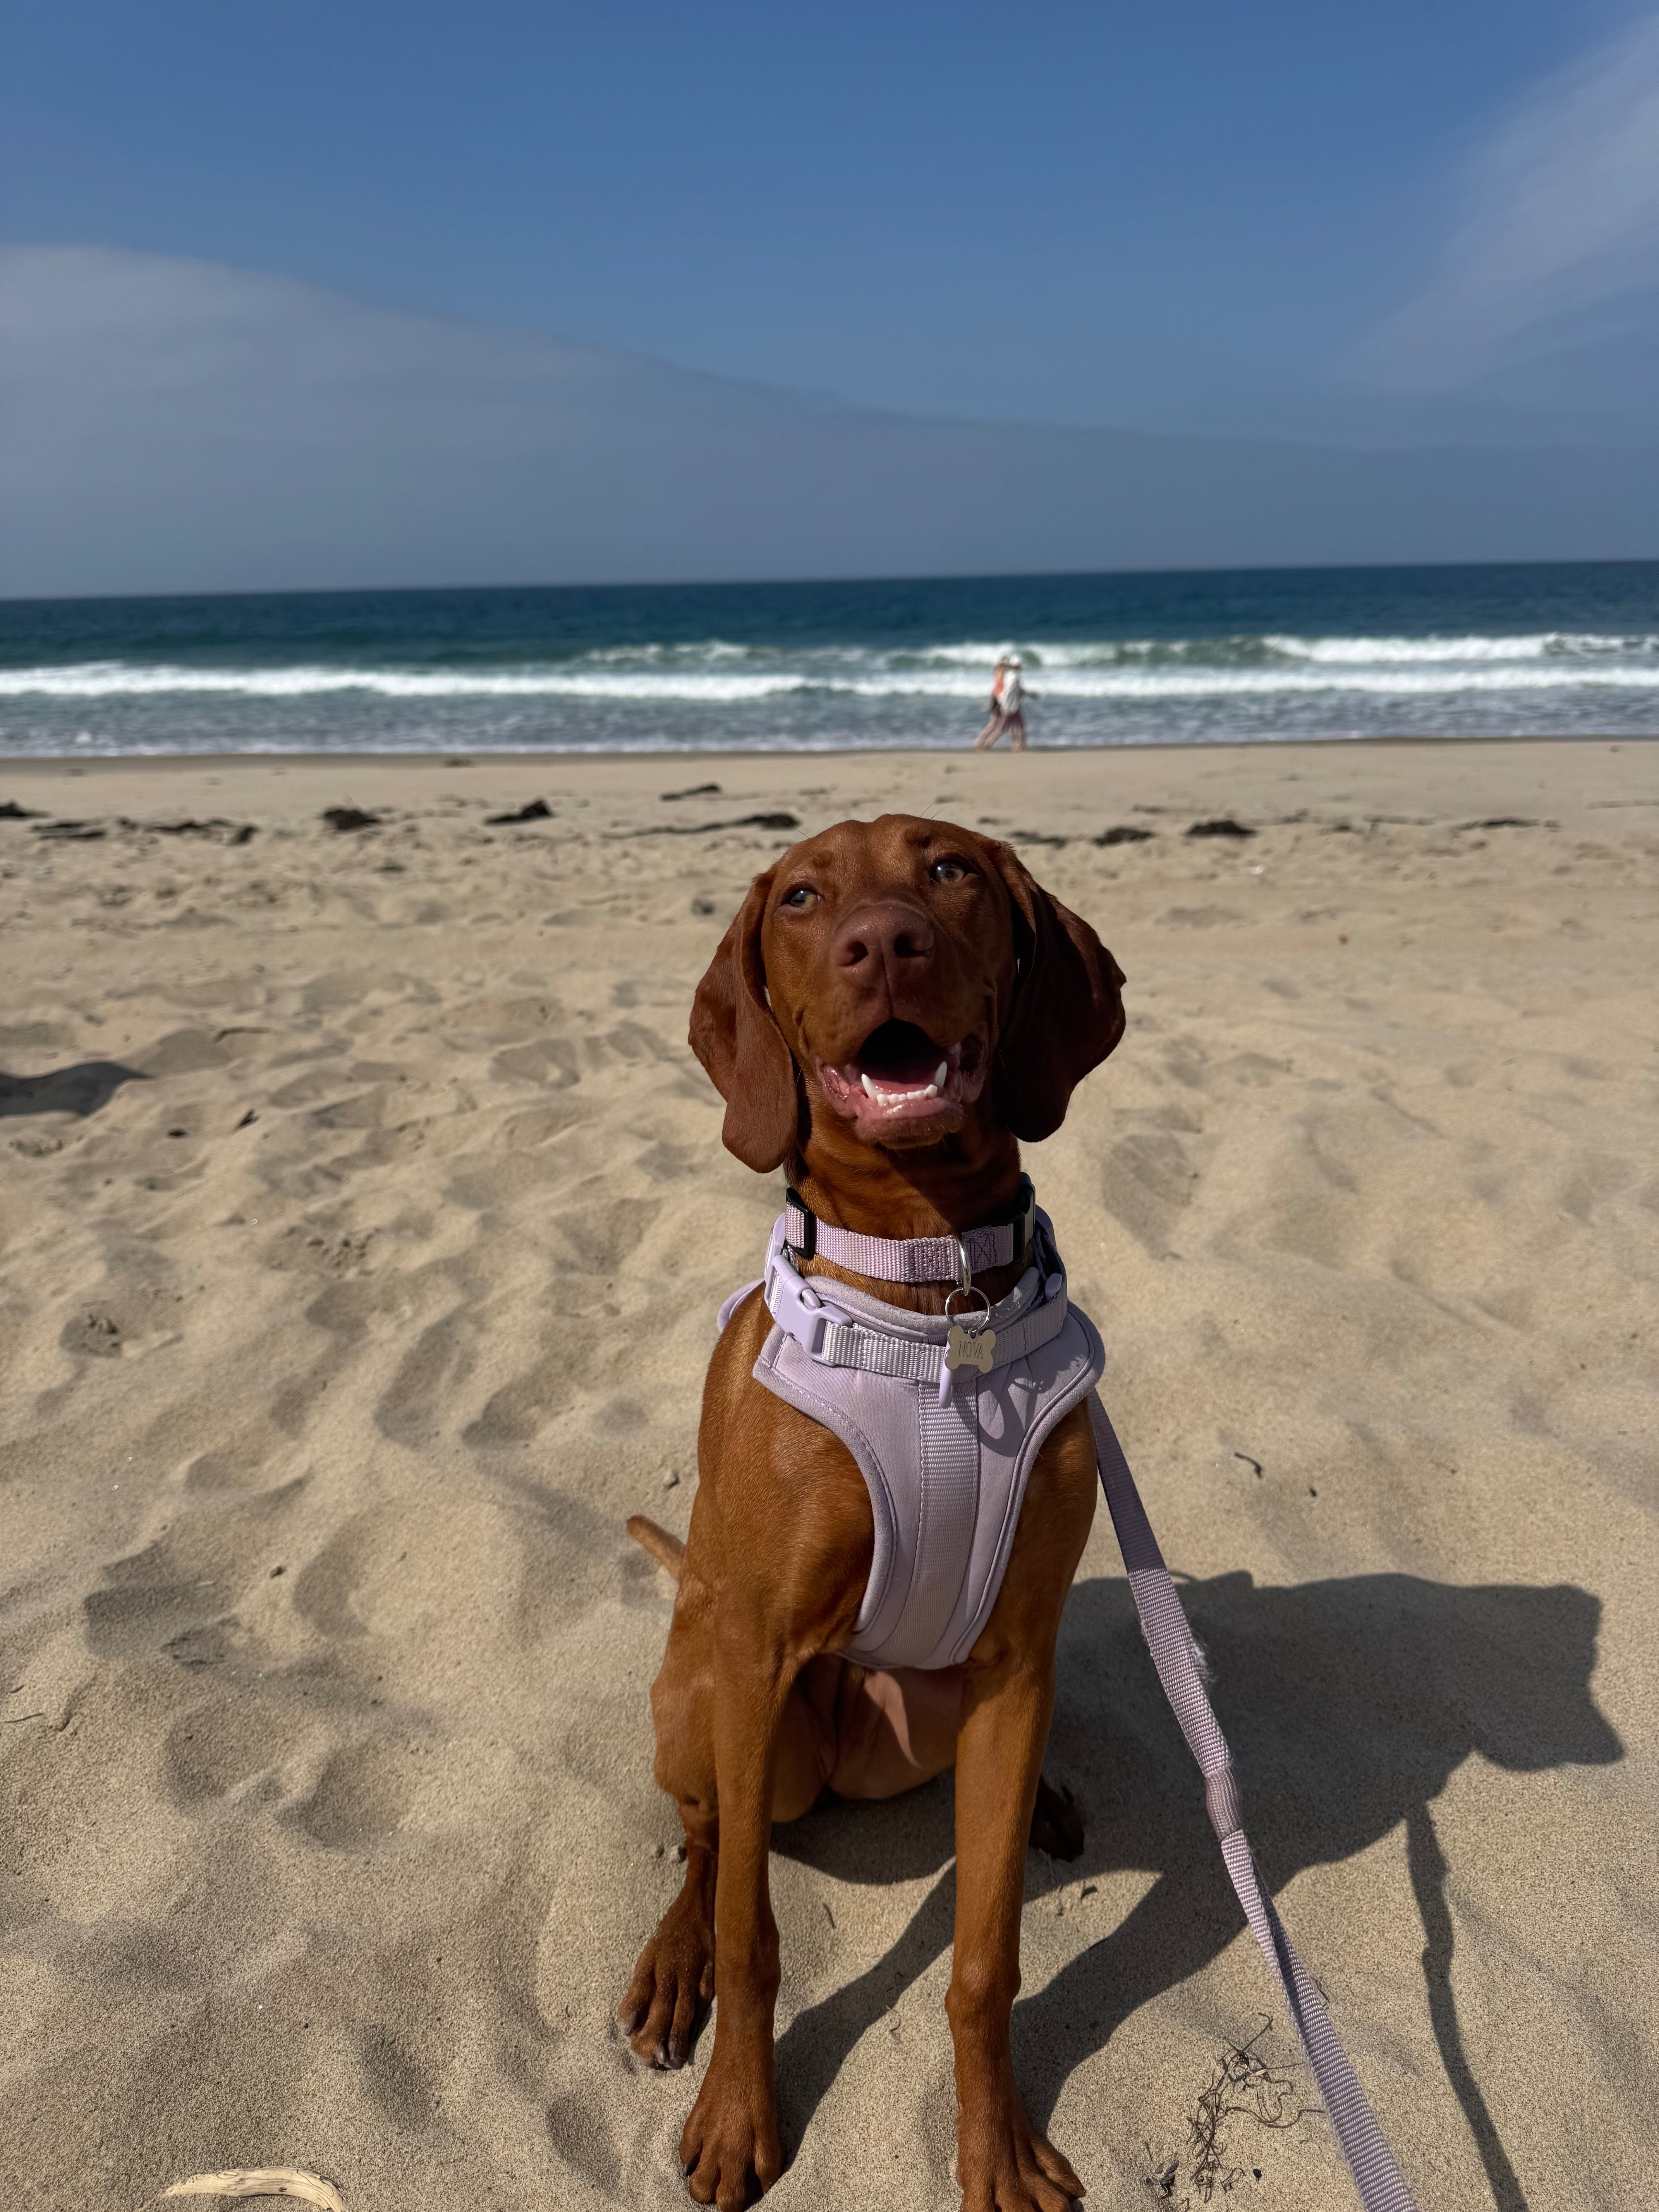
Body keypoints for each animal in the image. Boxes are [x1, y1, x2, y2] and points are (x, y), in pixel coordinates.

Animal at [621, 813, 1126, 2212]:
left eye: (948, 869)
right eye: (798, 897)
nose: (883, 942)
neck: (930, 1290)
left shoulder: (1014, 1661)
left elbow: (983, 1962)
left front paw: (994, 2146)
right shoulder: (753, 1655)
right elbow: (751, 1932)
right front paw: (739, 2114)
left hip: (954, 1710)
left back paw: (1048, 1796)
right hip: (723, 1705)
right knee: (708, 1839)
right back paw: (670, 1963)